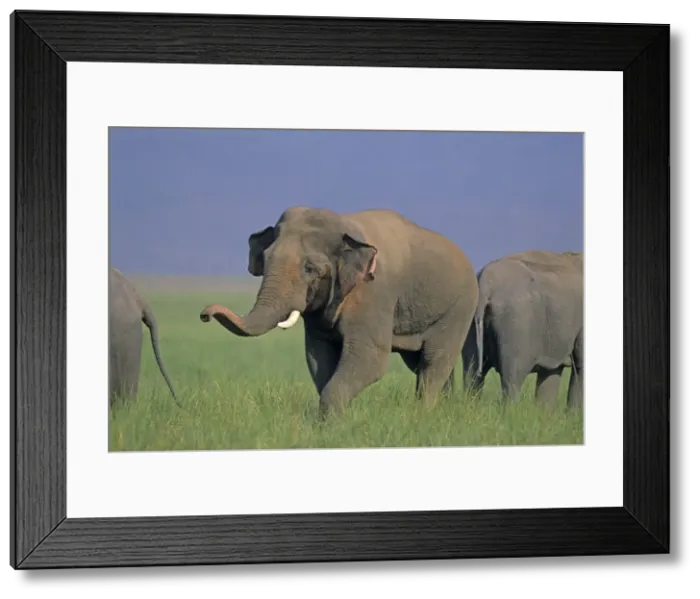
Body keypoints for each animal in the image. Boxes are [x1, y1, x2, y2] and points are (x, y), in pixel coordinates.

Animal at [200, 206, 479, 419]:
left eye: (310, 269)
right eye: (266, 261)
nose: (204, 314)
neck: (345, 225)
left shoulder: (374, 293)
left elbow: (370, 359)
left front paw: (330, 425)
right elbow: (318, 358)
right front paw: (335, 423)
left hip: (460, 307)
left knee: (434, 362)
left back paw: (422, 415)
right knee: (423, 363)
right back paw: (442, 412)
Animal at [461, 249, 583, 410]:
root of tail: (485, 282)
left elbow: (550, 373)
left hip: (470, 320)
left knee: (472, 374)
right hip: (517, 324)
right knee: (513, 378)